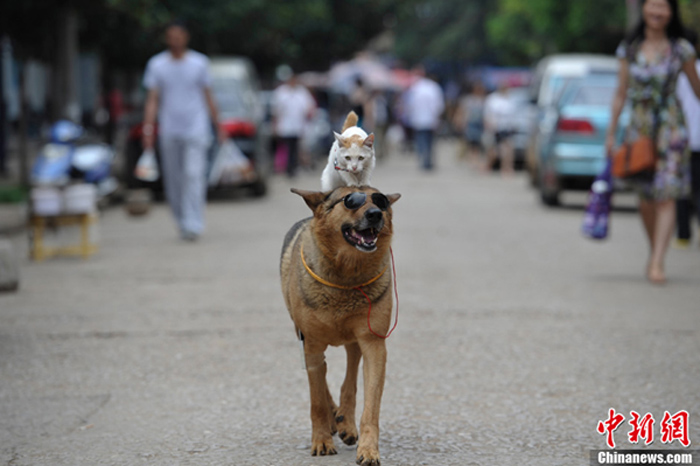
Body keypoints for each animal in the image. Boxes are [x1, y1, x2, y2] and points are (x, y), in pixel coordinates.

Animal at [278, 186, 400, 466]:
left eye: (381, 201)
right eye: (350, 201)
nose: (376, 214)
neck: (346, 275)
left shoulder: (374, 343)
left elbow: (370, 405)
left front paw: (368, 449)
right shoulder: (311, 343)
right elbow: (316, 400)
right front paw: (322, 440)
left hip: (354, 339)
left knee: (350, 376)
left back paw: (345, 421)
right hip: (304, 337)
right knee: (322, 380)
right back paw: (334, 418)